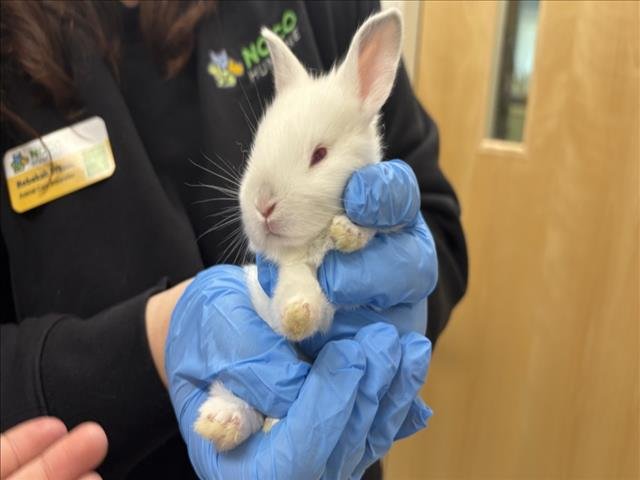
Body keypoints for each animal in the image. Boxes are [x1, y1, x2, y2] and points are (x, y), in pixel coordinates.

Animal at [194, 8, 404, 452]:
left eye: (320, 154)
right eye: (257, 146)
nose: (262, 205)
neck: (312, 244)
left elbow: (371, 232)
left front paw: (349, 232)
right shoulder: (284, 274)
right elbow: (296, 292)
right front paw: (297, 316)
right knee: (237, 392)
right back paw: (221, 423)